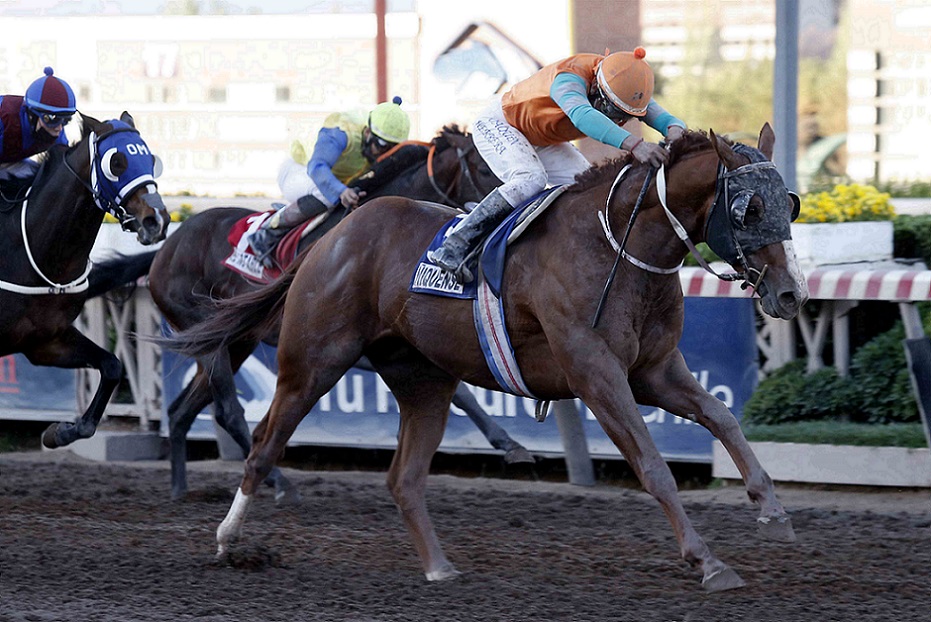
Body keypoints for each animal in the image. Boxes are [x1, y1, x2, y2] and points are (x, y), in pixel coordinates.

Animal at [0, 112, 169, 449]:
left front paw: (59, 432)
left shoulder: (45, 340)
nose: (156, 220)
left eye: (150, 159)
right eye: (116, 163)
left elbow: (113, 366)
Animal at [111, 126, 532, 501]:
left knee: (182, 409)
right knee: (228, 411)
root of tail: (163, 251)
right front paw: (508, 443)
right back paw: (279, 483)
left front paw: (510, 444)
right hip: (207, 334)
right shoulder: (354, 343)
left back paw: (179, 489)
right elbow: (460, 392)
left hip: (234, 341)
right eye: (482, 167)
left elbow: (460, 392)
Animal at [162, 124, 808, 591]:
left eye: (792, 204)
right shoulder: (596, 373)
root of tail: (332, 239)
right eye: (749, 209)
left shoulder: (653, 370)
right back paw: (228, 539)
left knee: (403, 478)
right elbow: (652, 465)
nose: (789, 294)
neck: (619, 248)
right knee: (262, 441)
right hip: (312, 361)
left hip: (422, 379)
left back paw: (438, 566)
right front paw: (707, 561)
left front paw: (772, 507)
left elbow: (722, 417)